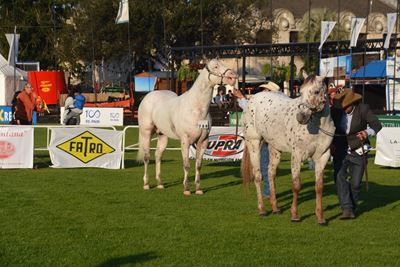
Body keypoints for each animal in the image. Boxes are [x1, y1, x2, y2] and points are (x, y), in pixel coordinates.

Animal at [138, 59, 238, 196]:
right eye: (215, 66)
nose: (233, 76)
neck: (196, 109)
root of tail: (148, 96)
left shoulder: (203, 141)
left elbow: (198, 165)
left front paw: (198, 189)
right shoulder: (185, 141)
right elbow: (186, 165)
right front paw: (186, 189)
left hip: (162, 135)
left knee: (158, 155)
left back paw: (160, 183)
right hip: (146, 133)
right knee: (147, 157)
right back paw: (146, 184)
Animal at [241, 75, 334, 226]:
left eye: (316, 91)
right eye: (300, 92)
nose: (301, 116)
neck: (316, 127)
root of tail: (252, 99)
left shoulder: (323, 156)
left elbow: (319, 186)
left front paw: (320, 217)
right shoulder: (297, 155)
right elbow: (296, 185)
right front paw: (295, 215)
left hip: (274, 148)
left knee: (270, 173)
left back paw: (275, 208)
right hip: (254, 143)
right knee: (258, 176)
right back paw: (262, 209)